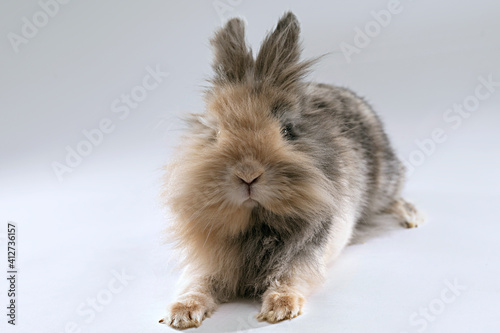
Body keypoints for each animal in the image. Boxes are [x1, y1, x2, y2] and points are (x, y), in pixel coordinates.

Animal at [159, 11, 422, 330]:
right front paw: (180, 314)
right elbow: (195, 283)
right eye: (216, 132)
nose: (248, 174)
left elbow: (289, 278)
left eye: (287, 131)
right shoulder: (204, 262)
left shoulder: (306, 255)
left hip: (384, 184)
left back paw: (412, 218)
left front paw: (280, 309)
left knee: (394, 200)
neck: (255, 221)